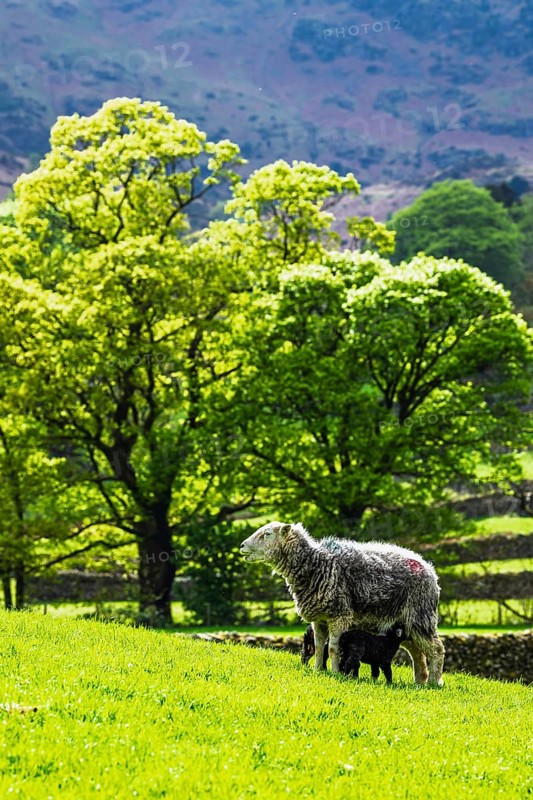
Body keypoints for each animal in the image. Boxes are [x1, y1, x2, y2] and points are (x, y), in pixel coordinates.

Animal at [240, 521, 445, 685]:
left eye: (267, 534)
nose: (242, 546)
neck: (317, 565)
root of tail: (430, 570)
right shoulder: (319, 619)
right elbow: (319, 646)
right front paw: (318, 670)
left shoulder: (339, 616)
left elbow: (333, 648)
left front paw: (336, 673)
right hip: (405, 625)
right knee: (418, 654)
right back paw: (419, 682)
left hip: (420, 616)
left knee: (436, 649)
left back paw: (434, 683)